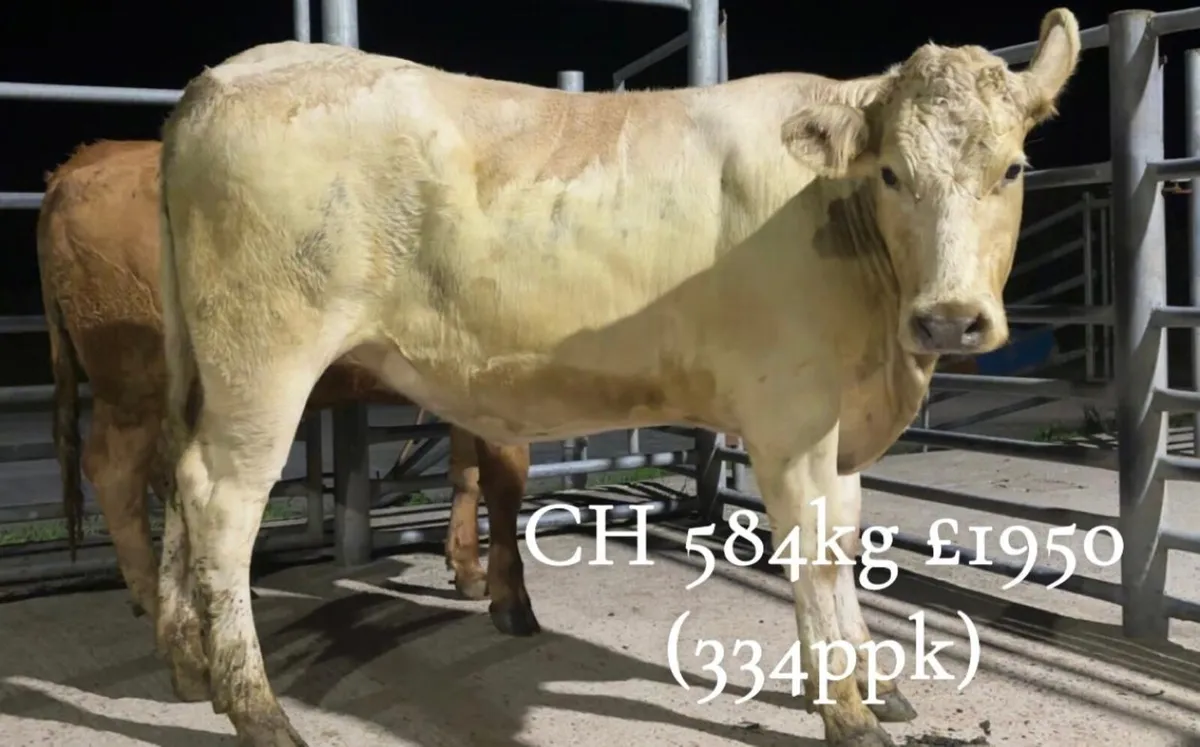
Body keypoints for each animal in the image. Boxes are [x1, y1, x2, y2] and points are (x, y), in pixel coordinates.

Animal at [36, 139, 536, 631]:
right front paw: (512, 602)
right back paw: (159, 608)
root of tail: (81, 165)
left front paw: (469, 572)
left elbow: (467, 473)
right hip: (131, 382)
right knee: (114, 473)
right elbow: (505, 479)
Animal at [153, 8, 1081, 746]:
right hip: (264, 356)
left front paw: (871, 683)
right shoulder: (791, 419)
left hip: (202, 366)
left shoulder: (841, 424)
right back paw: (259, 711)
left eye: (1013, 168)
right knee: (223, 503)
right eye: (892, 173)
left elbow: (846, 542)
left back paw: (190, 665)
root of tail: (220, 78)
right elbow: (816, 557)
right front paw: (847, 712)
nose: (950, 317)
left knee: (179, 481)